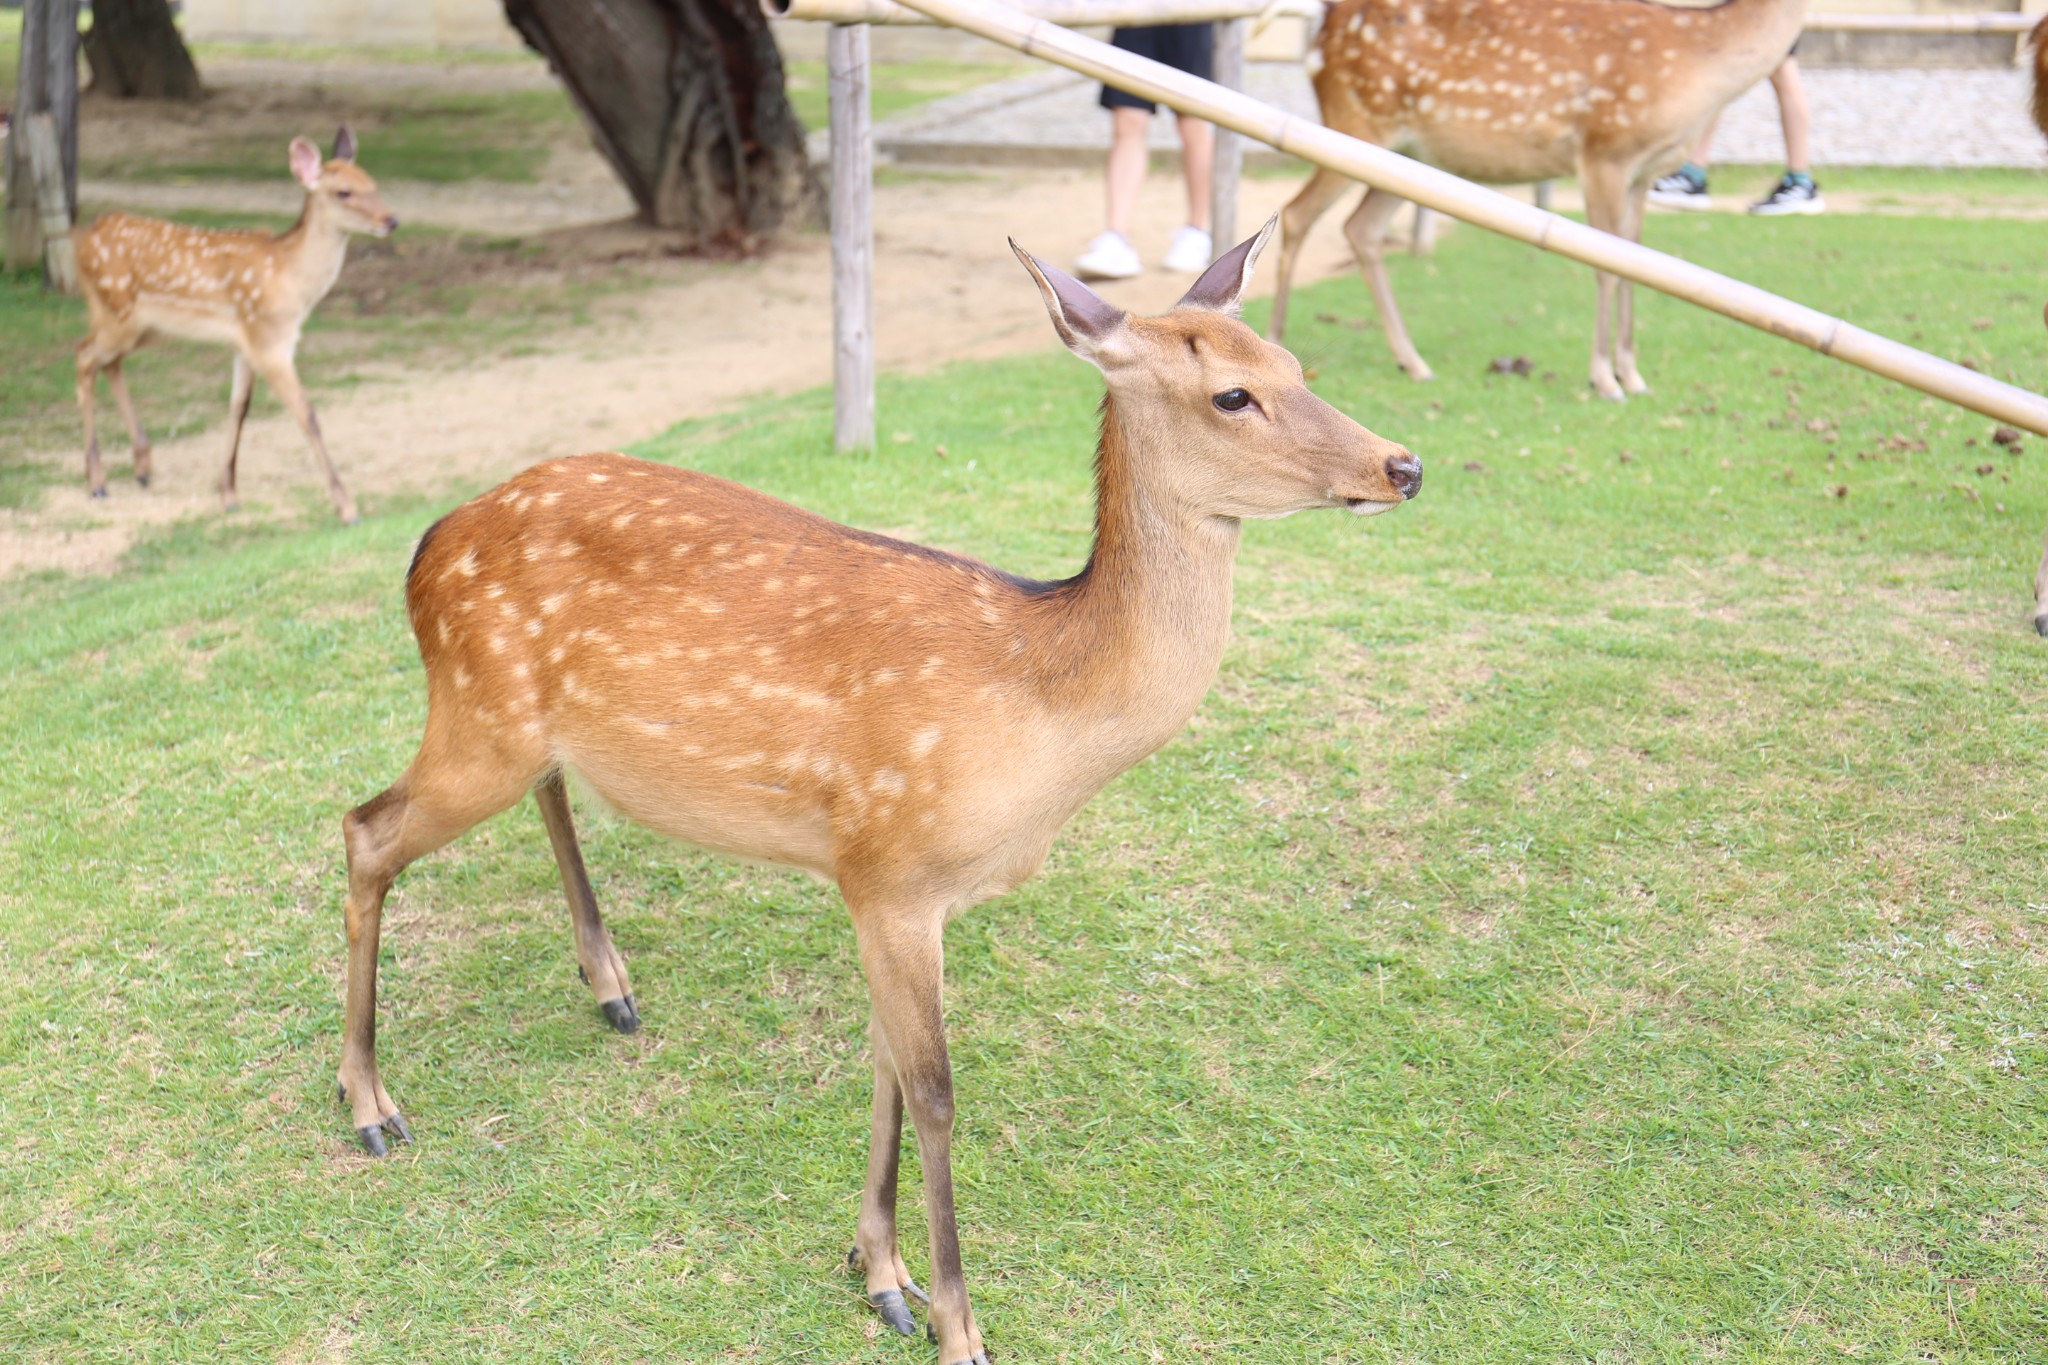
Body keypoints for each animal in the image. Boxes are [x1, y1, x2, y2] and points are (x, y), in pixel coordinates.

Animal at [72, 124, 395, 523]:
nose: (391, 220)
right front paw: (347, 506)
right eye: (344, 191)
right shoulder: (269, 340)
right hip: (117, 310)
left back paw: (142, 467)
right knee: (84, 355)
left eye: (372, 182)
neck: (291, 280)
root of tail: (81, 241)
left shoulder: (248, 343)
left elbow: (239, 408)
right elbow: (307, 414)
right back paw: (97, 481)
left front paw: (227, 493)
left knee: (108, 362)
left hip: (140, 326)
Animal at [335, 224, 1425, 1365]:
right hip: (476, 712)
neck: (1042, 709)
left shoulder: (880, 887)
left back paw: (609, 986)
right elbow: (936, 1088)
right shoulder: (895, 869)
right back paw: (370, 1103)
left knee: (533, 792)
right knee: (364, 828)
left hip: (516, 724)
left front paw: (877, 1270)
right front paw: (955, 1323)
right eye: (1231, 394)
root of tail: (429, 541)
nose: (1402, 464)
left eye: (1295, 364)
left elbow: (887, 1069)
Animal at [1269, 0, 1802, 401]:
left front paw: (1633, 374)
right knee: (1297, 213)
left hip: (1401, 153)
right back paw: (1276, 342)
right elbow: (1606, 267)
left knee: (1360, 227)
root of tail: (1320, 33)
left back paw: (1414, 362)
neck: (1699, 66)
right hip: (1354, 121)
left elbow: (1635, 263)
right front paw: (1605, 379)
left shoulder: (1643, 172)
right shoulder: (1604, 151)